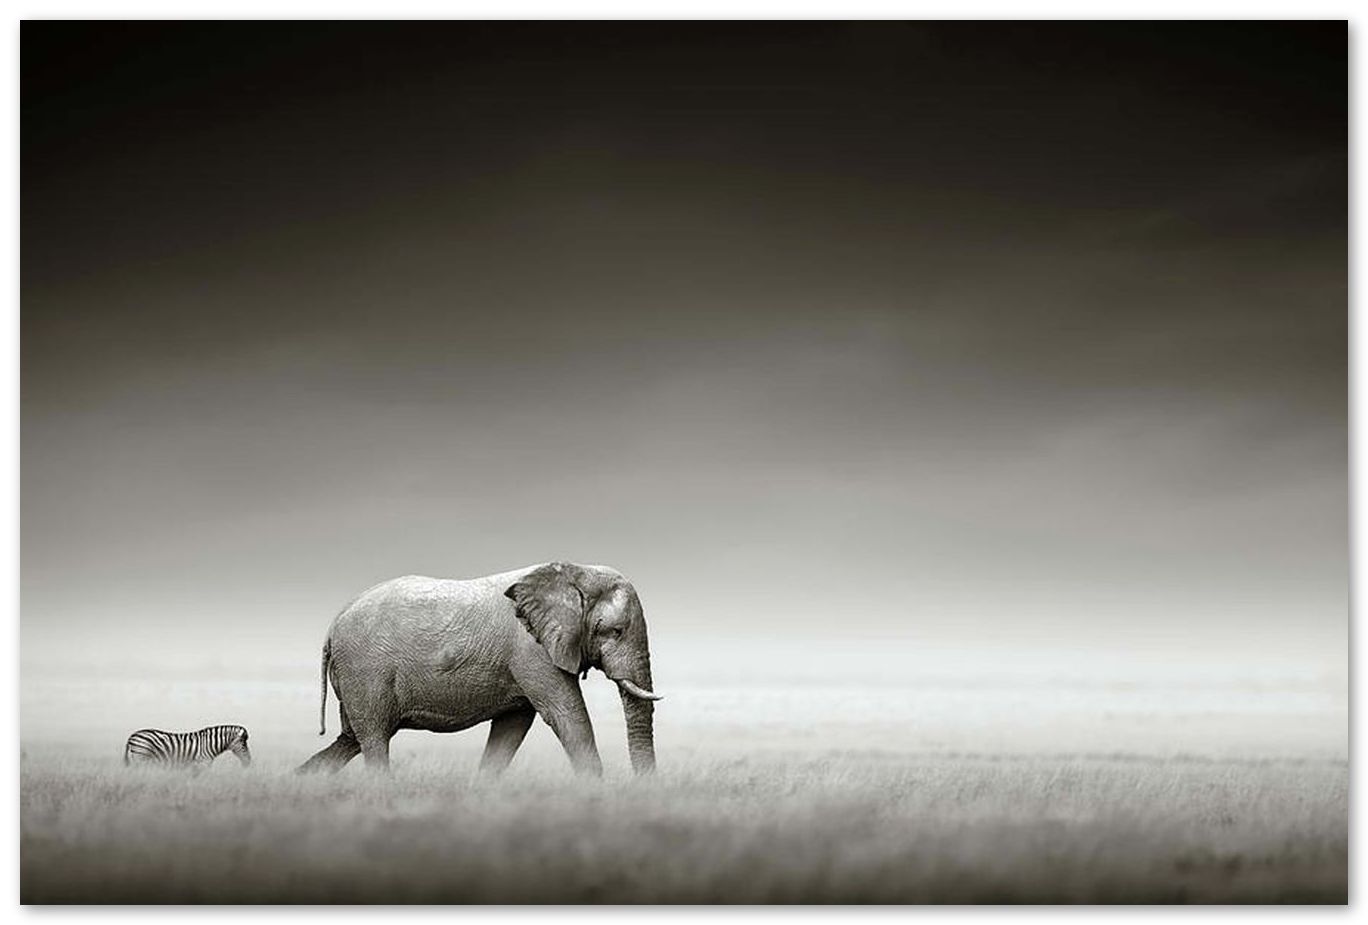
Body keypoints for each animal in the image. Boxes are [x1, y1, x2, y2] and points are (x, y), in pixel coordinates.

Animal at [123, 725, 252, 771]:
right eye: (243, 745)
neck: (209, 743)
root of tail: (131, 736)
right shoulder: (203, 763)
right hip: (141, 757)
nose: (249, 762)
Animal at [297, 562, 661, 776]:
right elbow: (567, 714)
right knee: (373, 738)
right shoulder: (531, 650)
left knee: (351, 739)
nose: (642, 789)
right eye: (614, 631)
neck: (574, 572)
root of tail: (332, 626)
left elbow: (512, 727)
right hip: (365, 670)